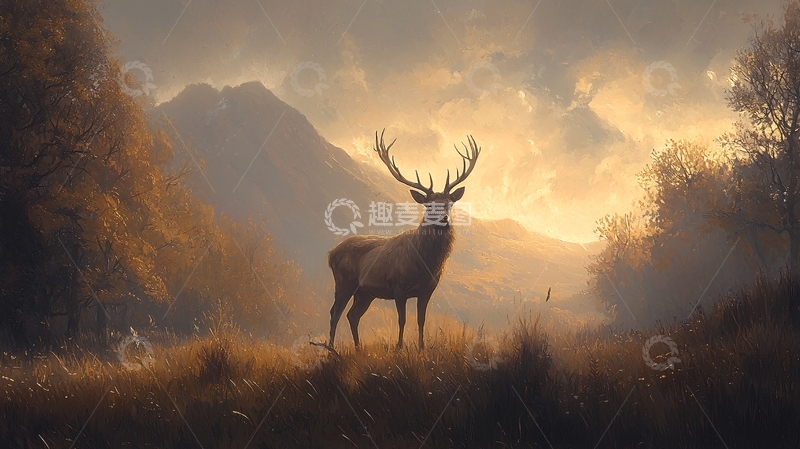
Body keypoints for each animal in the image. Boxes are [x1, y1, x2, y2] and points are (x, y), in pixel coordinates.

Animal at [327, 130, 480, 350]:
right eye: (429, 205)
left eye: (449, 203)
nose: (444, 219)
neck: (426, 264)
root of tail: (331, 254)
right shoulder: (398, 286)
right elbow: (402, 320)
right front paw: (399, 347)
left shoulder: (428, 289)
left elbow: (421, 320)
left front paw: (421, 348)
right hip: (344, 281)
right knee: (335, 312)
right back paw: (330, 349)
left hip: (365, 292)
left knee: (352, 315)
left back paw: (357, 348)